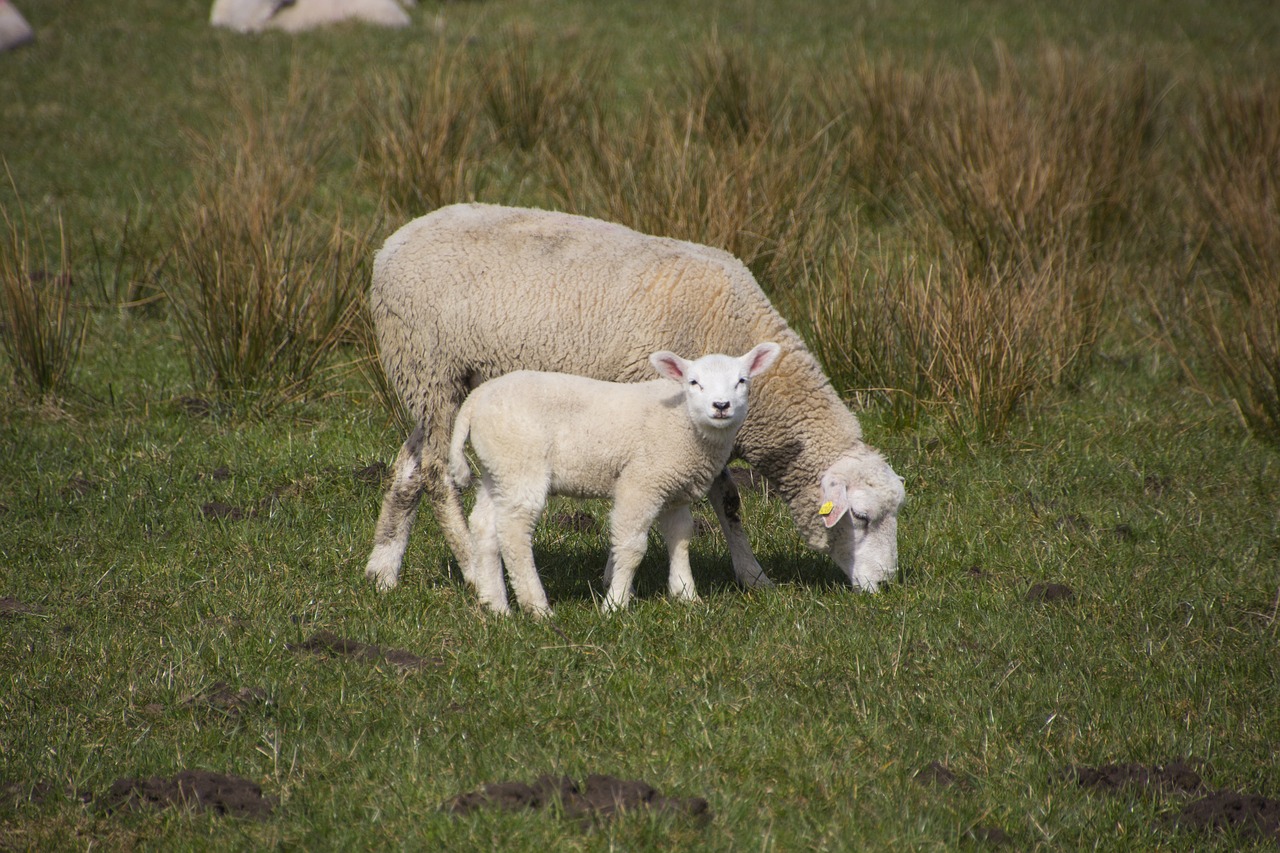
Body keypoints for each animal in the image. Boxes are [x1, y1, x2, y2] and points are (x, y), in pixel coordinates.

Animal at [450, 343, 778, 614]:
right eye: (694, 382)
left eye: (742, 381)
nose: (721, 406)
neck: (684, 421)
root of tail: (476, 400)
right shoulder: (642, 481)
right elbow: (632, 547)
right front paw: (615, 604)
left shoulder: (674, 484)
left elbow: (681, 537)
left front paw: (686, 595)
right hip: (521, 463)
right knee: (513, 531)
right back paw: (537, 608)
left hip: (497, 467)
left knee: (484, 525)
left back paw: (496, 606)